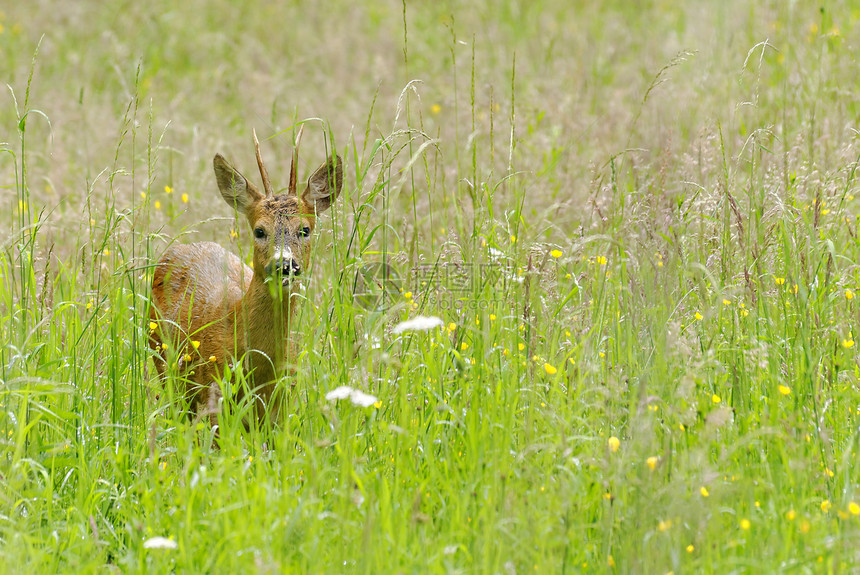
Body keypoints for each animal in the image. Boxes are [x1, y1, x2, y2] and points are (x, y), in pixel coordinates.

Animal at [149, 130, 340, 428]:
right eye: (260, 230)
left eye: (305, 230)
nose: (285, 264)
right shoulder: (213, 397)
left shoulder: (281, 404)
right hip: (165, 365)